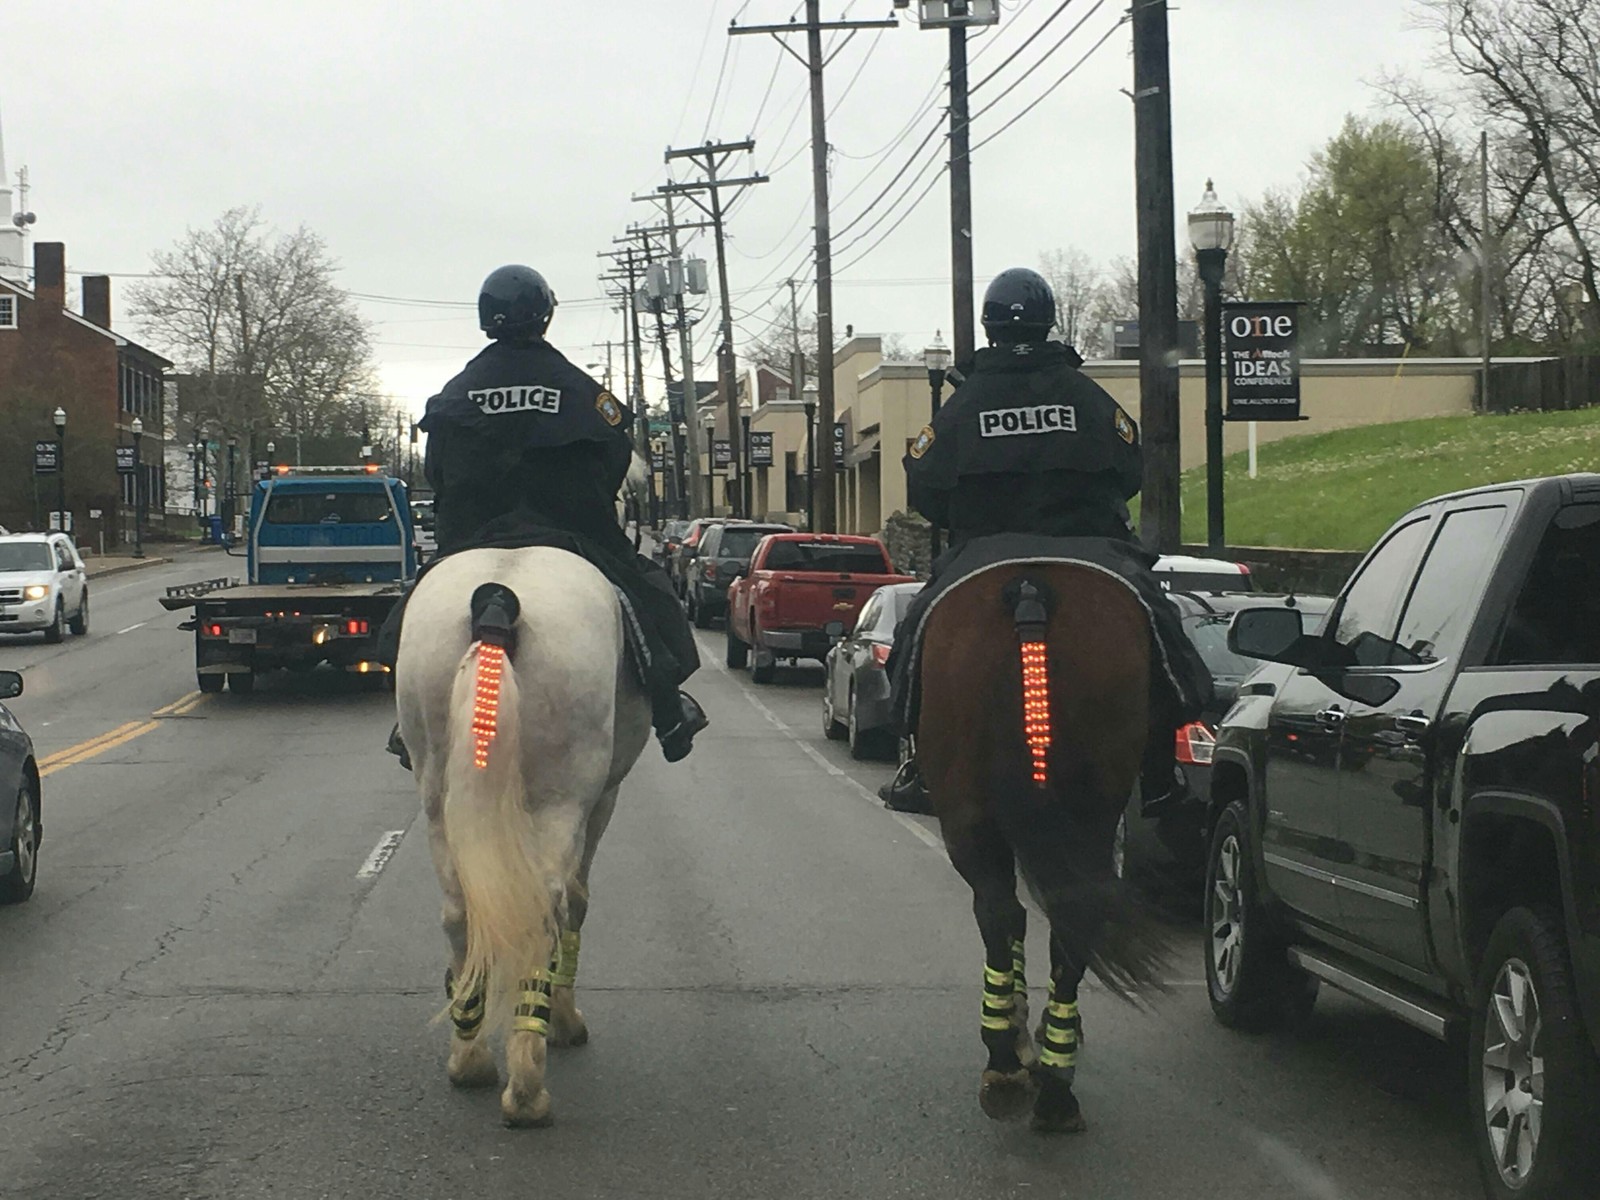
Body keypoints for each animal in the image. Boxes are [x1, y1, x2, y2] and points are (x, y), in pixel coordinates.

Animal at [395, 454, 649, 1126]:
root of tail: (497, 596)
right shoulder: (602, 798)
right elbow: (578, 903)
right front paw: (561, 1023)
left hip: (438, 798)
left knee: (459, 911)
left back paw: (470, 1056)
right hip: (562, 796)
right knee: (547, 907)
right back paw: (528, 1086)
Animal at [921, 563, 1171, 1139]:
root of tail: (1031, 591)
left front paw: (1015, 1024)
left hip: (971, 813)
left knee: (1002, 912)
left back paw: (1012, 1064)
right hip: (1092, 806)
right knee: (1064, 919)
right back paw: (1051, 1080)